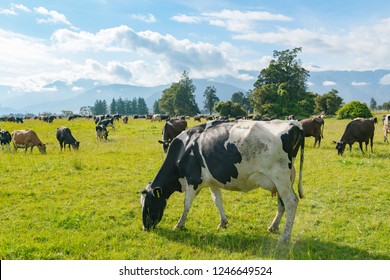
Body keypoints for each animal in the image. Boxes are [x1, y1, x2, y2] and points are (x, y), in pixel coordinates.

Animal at [142, 120, 306, 243]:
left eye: (149, 204)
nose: (145, 227)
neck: (184, 148)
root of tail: (294, 124)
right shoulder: (212, 182)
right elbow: (217, 200)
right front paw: (223, 222)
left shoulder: (192, 180)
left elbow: (186, 204)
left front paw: (179, 225)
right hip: (284, 179)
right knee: (282, 204)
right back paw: (273, 227)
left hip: (280, 177)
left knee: (291, 202)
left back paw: (284, 238)